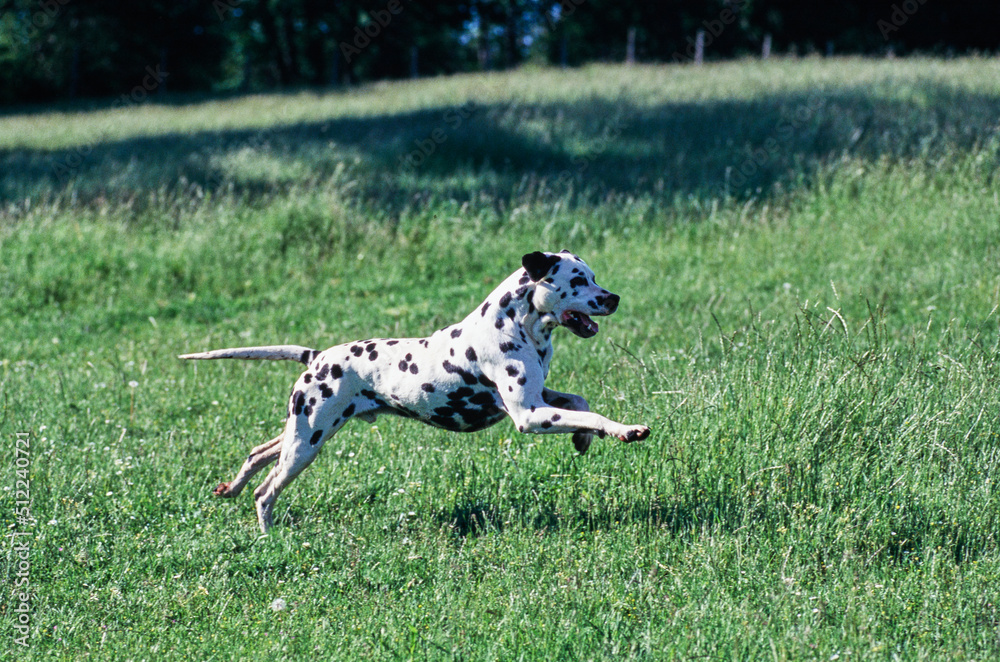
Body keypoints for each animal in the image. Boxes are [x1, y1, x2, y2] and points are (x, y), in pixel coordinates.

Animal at [180, 250, 648, 536]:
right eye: (578, 280)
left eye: (594, 277)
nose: (614, 298)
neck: (514, 324)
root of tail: (317, 356)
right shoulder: (529, 415)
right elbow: (593, 413)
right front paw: (624, 430)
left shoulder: (541, 397)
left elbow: (580, 404)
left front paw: (584, 439)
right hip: (306, 443)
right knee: (266, 492)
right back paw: (269, 536)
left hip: (300, 433)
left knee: (257, 453)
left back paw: (231, 488)